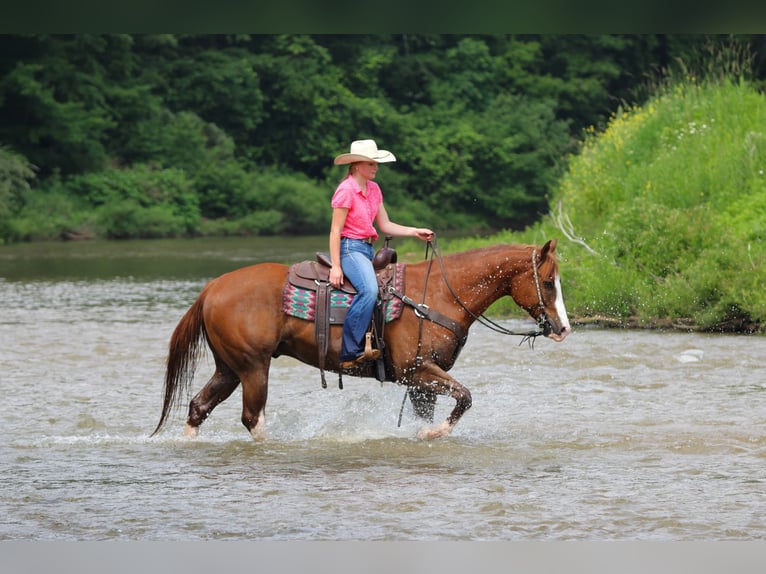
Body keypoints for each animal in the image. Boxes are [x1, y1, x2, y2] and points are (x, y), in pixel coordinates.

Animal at [152, 239, 570, 441]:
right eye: (549, 282)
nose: (563, 328)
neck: (438, 295)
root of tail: (212, 287)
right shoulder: (417, 371)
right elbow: (465, 397)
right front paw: (433, 433)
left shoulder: (422, 383)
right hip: (254, 367)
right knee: (252, 417)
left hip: (230, 367)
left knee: (198, 407)